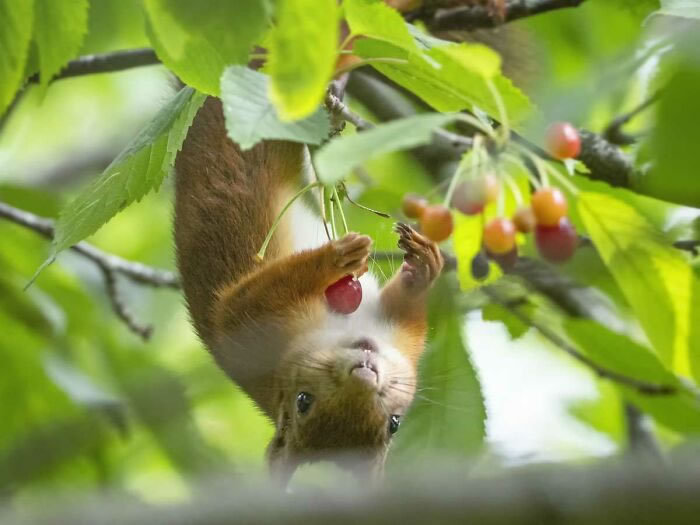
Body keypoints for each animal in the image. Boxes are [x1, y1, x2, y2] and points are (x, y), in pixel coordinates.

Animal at [174, 97, 442, 484]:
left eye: (394, 423)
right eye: (303, 401)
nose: (365, 371)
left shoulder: (400, 337)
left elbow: (402, 306)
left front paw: (423, 266)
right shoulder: (246, 328)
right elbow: (257, 293)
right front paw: (334, 258)